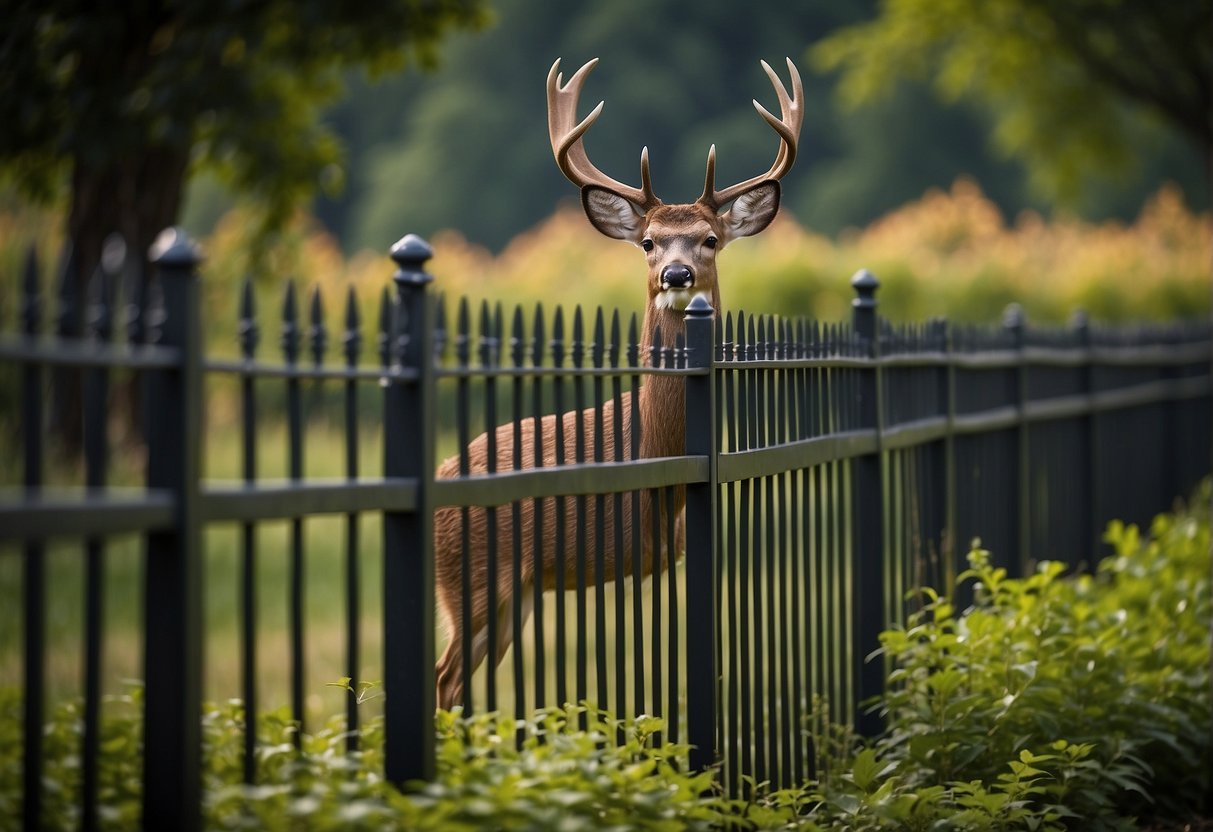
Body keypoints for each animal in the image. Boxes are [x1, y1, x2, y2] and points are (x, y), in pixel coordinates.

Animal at [433, 56, 803, 711]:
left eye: (710, 239)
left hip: (508, 598)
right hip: (472, 580)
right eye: (649, 242)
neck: (652, 450)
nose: (676, 274)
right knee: (444, 679)